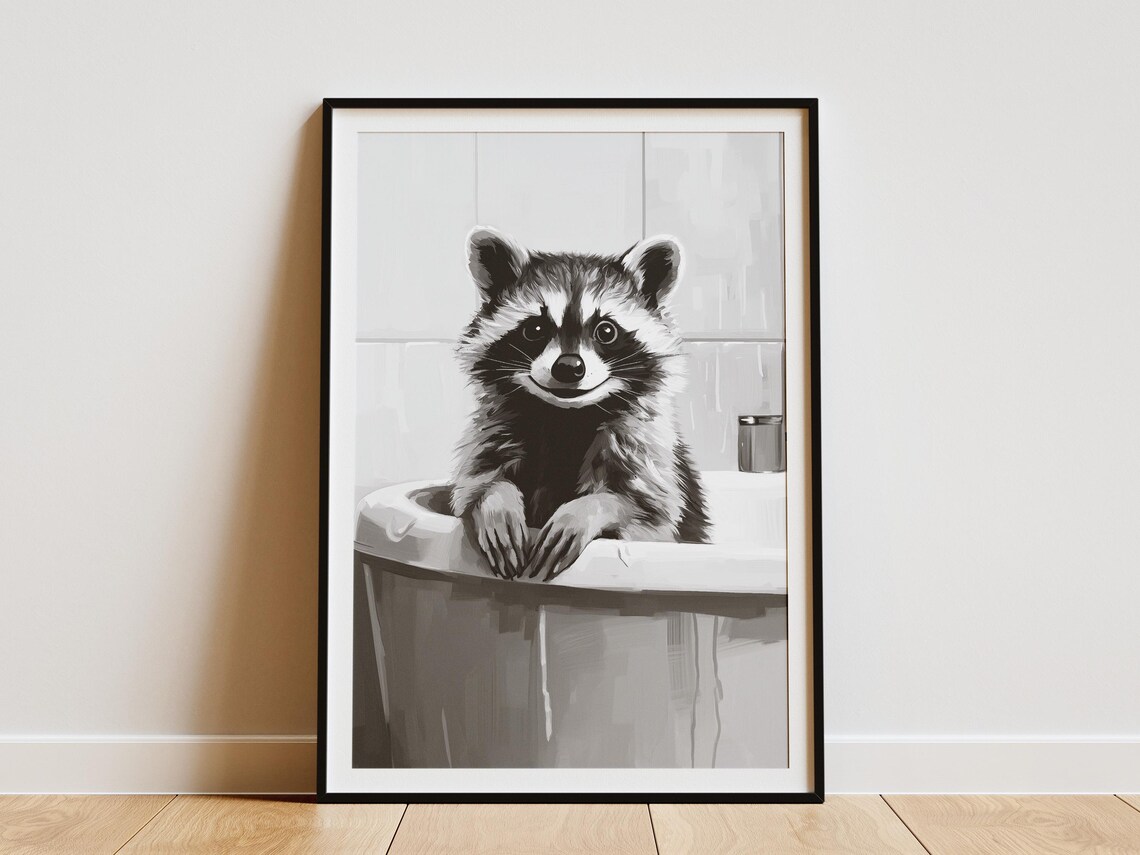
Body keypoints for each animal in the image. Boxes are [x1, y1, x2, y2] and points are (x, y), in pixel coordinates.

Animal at [450, 226, 710, 581]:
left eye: (606, 331)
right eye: (535, 329)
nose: (569, 367)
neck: (565, 418)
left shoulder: (643, 446)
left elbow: (650, 514)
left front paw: (588, 509)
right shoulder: (495, 428)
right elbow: (475, 483)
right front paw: (497, 499)